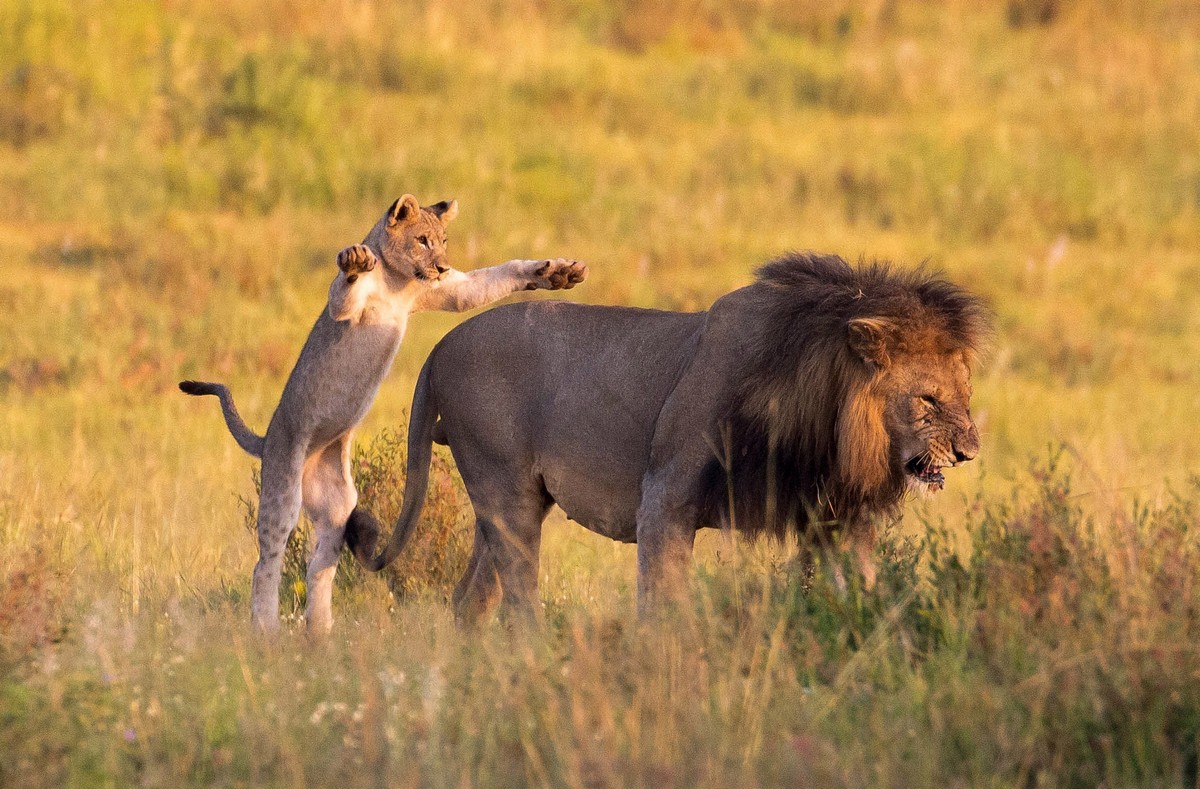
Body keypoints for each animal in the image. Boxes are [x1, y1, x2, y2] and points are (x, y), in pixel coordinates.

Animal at [345, 251, 984, 618]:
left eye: (966, 394)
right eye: (927, 400)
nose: (968, 452)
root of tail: (439, 348)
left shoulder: (836, 516)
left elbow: (861, 593)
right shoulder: (664, 497)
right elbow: (662, 608)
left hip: (503, 503)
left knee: (470, 600)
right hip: (508, 494)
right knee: (518, 603)